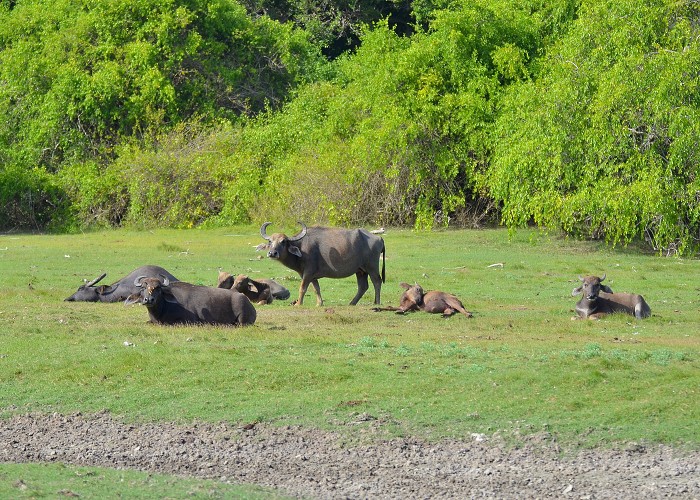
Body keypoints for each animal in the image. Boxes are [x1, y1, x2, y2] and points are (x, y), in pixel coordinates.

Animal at [258, 222, 386, 306]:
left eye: (283, 241)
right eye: (270, 241)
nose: (272, 253)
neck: (302, 248)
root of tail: (379, 238)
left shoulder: (308, 273)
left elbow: (303, 288)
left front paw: (298, 303)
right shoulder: (312, 276)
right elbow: (316, 289)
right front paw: (319, 303)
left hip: (372, 267)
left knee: (377, 281)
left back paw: (377, 302)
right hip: (360, 271)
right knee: (363, 286)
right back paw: (352, 303)